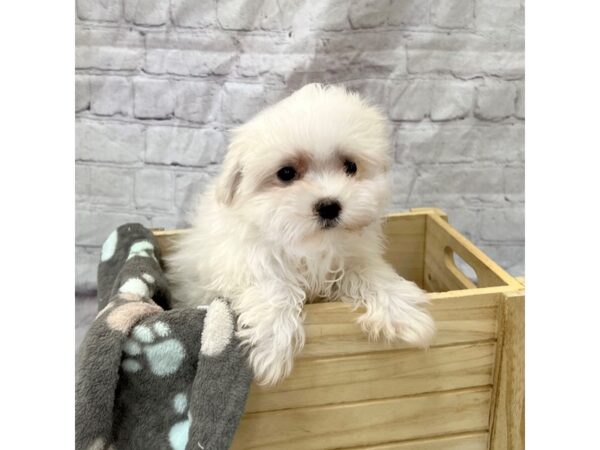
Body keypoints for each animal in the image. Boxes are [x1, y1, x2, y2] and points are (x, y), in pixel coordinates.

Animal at [166, 83, 434, 384]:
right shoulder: (244, 261)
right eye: (286, 173)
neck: (309, 245)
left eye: (351, 167)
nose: (329, 206)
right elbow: (273, 286)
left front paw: (402, 311)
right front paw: (272, 347)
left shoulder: (354, 254)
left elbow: (371, 273)